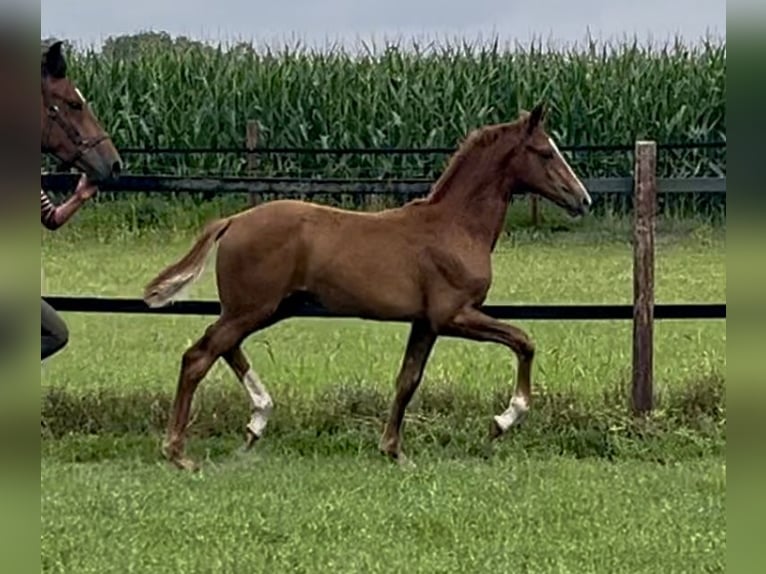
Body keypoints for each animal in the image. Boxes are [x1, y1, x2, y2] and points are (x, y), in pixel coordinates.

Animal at [143, 103, 592, 471]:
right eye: (546, 152)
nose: (583, 200)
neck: (455, 227)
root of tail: (233, 220)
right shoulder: (453, 315)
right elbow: (523, 340)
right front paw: (503, 420)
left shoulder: (425, 323)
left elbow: (408, 380)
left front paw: (394, 450)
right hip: (253, 308)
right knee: (199, 356)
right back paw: (179, 452)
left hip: (263, 308)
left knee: (221, 347)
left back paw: (257, 420)